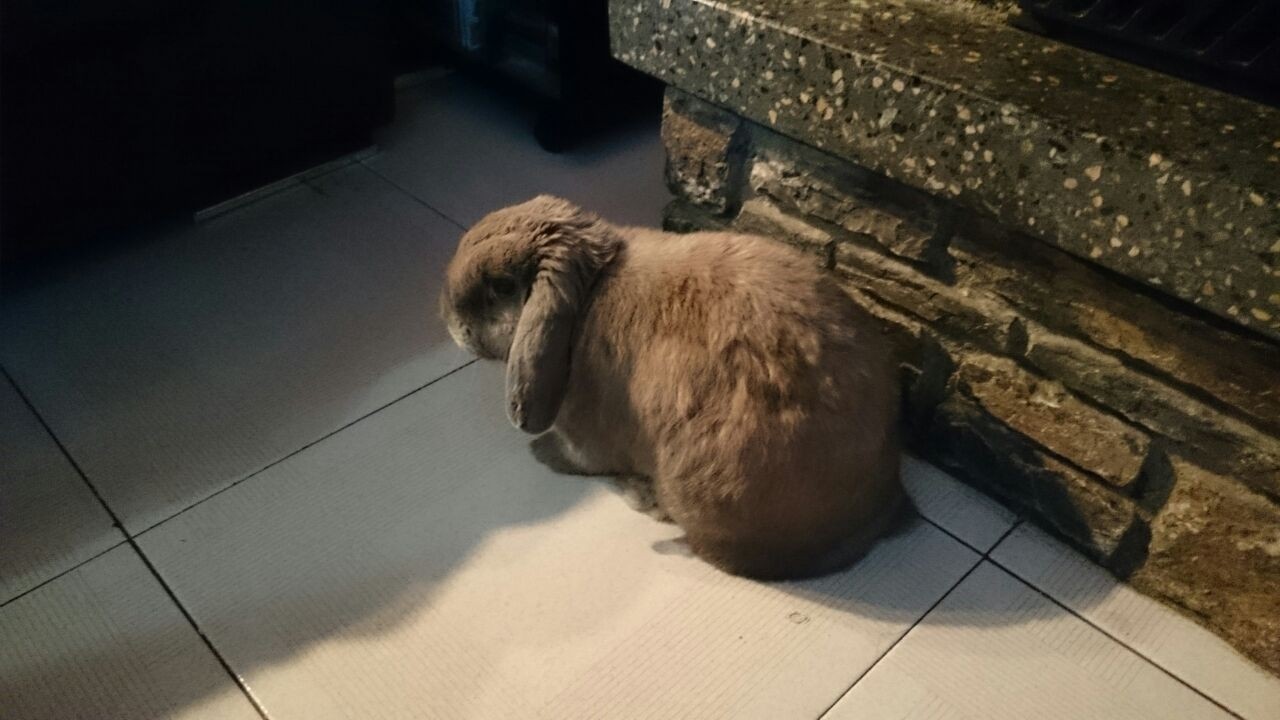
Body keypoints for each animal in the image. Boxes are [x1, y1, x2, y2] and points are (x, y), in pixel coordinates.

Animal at [440, 195, 907, 580]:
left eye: (501, 287)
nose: (446, 317)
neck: (588, 293)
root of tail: (876, 514)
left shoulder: (584, 436)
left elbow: (576, 456)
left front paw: (540, 452)